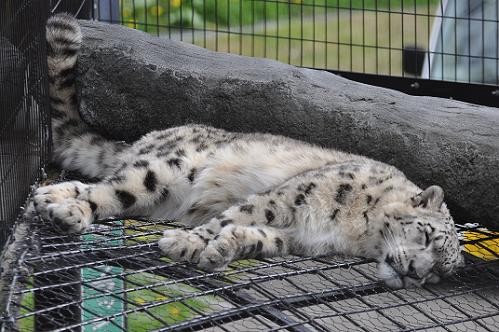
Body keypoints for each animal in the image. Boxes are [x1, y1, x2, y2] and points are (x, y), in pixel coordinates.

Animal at [34, 13, 464, 288]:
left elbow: (255, 236)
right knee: (107, 190)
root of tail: (154, 136)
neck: (356, 234)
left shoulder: (297, 237)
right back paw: (70, 213)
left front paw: (218, 251)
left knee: (100, 184)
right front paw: (186, 244)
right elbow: (232, 217)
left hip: (154, 191)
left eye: (440, 273)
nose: (415, 274)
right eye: (426, 236)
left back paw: (49, 197)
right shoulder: (288, 199)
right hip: (163, 171)